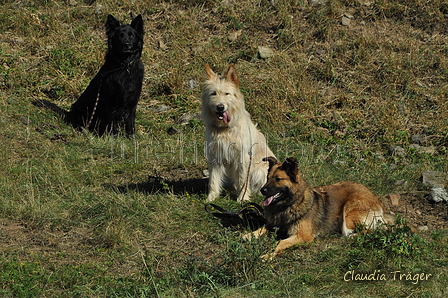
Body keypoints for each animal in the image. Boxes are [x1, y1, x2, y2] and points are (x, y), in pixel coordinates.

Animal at [202, 64, 272, 201]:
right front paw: (211, 198)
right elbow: (213, 180)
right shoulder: (215, 155)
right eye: (213, 93)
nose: (220, 107)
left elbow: (243, 180)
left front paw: (242, 198)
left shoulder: (243, 157)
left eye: (227, 93)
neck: (225, 129)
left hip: (260, 171)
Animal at [243, 156, 394, 258]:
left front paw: (266, 256)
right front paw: (248, 235)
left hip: (349, 212)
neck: (288, 205)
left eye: (278, 179)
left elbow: (279, 243)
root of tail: (376, 200)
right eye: (267, 178)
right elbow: (261, 228)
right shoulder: (274, 224)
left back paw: (353, 236)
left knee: (379, 229)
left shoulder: (302, 236)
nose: (262, 190)